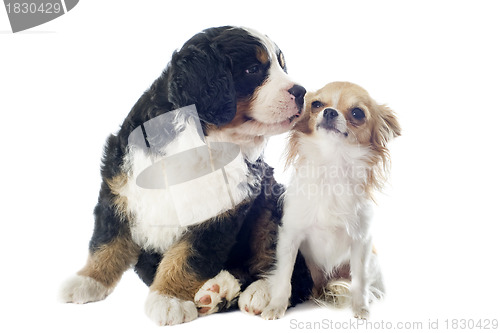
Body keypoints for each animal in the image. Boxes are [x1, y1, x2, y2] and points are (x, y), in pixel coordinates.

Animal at [60, 26, 312, 324]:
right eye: (252, 69)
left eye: (282, 66)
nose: (302, 92)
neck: (206, 140)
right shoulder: (120, 188)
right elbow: (106, 241)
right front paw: (88, 280)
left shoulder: (220, 211)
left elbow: (187, 257)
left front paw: (169, 299)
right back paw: (218, 291)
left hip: (273, 205)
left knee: (288, 267)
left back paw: (263, 293)